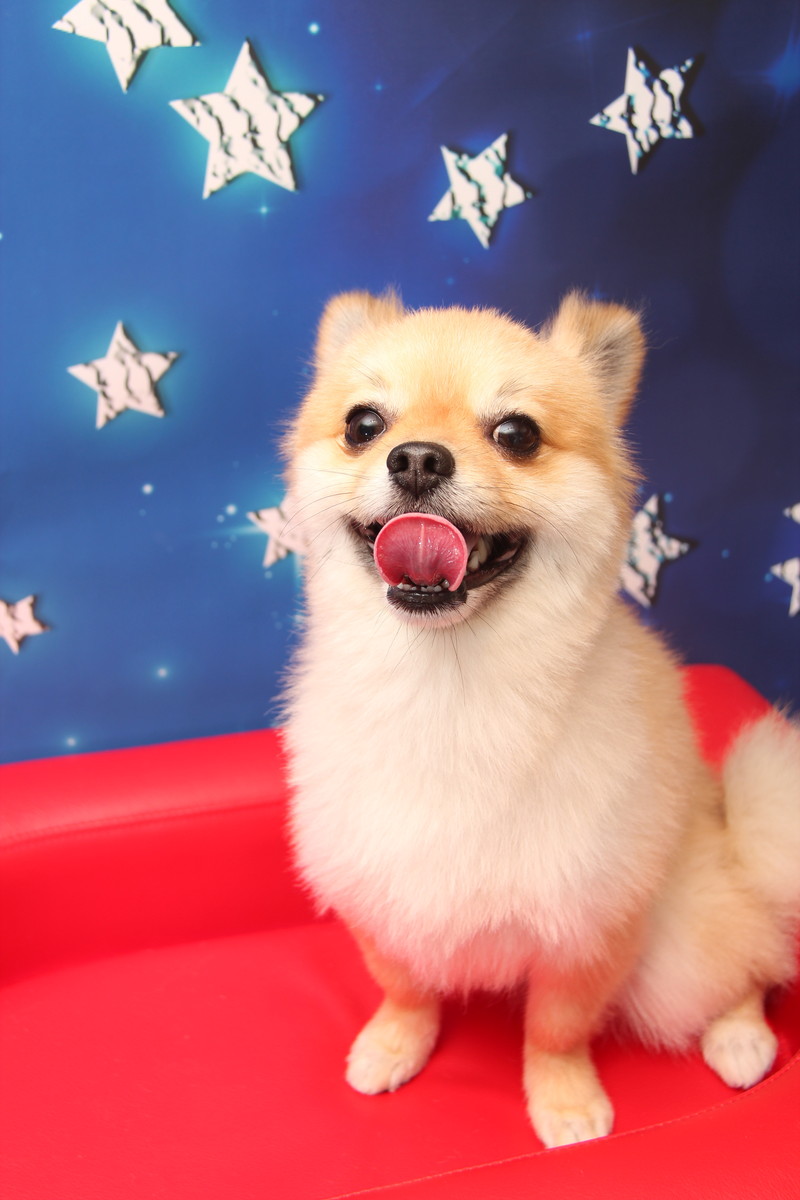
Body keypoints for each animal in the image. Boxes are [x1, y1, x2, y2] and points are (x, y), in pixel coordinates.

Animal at [281, 289, 800, 1148]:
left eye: (516, 434)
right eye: (364, 423)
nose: (416, 458)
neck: (451, 686)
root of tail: (725, 829)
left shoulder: (589, 925)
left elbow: (556, 1030)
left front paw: (564, 1103)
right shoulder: (382, 887)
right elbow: (404, 986)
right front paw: (394, 1042)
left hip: (678, 945)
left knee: (747, 957)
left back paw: (742, 1039)